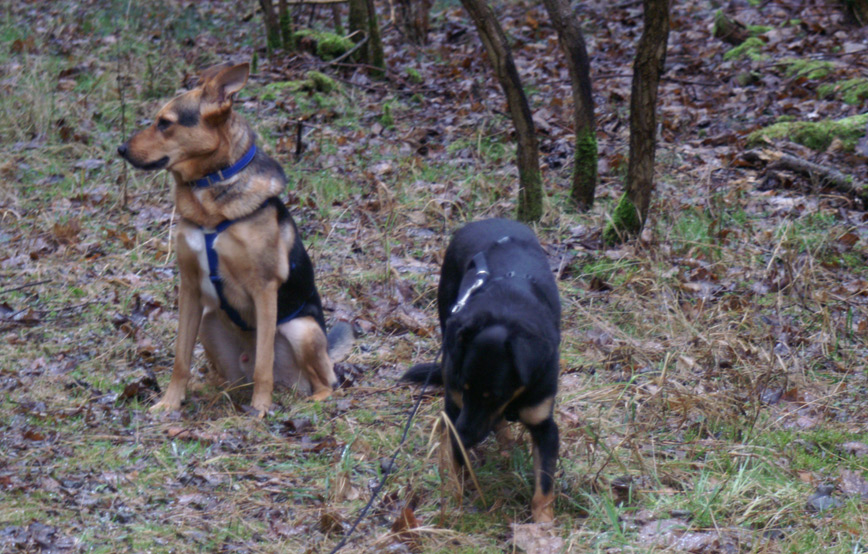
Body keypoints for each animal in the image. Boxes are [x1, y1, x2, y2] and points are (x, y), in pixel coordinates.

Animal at [117, 61, 350, 414]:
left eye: (165, 123)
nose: (120, 149)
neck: (209, 192)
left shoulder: (264, 288)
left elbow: (264, 363)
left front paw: (260, 410)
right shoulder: (189, 286)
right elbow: (181, 359)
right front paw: (170, 402)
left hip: (302, 330)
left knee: (325, 383)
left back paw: (309, 399)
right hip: (210, 320)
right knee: (229, 377)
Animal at [402, 217, 564, 520]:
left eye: (496, 395)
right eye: (465, 388)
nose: (465, 435)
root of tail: (488, 220)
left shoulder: (544, 424)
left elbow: (544, 485)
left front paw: (543, 524)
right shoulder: (456, 404)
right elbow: (454, 457)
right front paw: (454, 498)